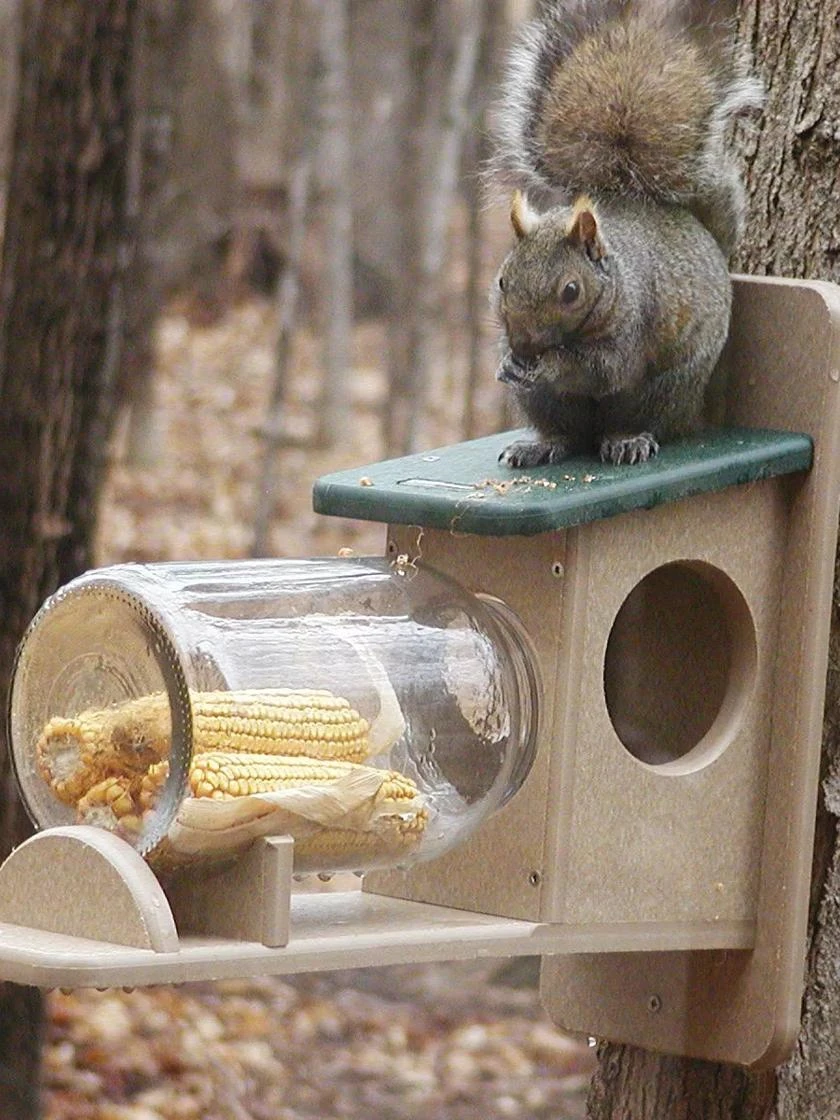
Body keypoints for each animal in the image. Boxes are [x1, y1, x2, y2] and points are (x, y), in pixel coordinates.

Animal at [489, 0, 762, 468]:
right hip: (543, 403)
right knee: (565, 433)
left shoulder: (632, 325)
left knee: (636, 418)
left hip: (664, 388)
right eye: (503, 281)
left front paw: (551, 364)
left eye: (571, 291)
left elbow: (600, 369)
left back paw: (627, 439)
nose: (523, 348)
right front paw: (507, 362)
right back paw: (540, 445)